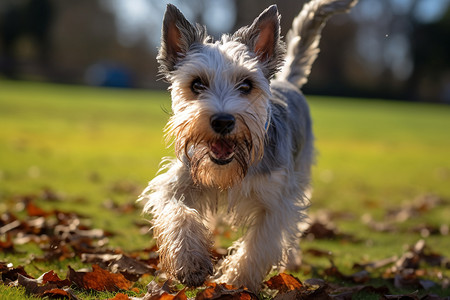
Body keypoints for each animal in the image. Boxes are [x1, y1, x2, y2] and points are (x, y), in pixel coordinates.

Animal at [139, 0, 356, 292]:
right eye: (197, 84)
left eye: (246, 85)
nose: (223, 121)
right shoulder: (178, 183)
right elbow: (178, 213)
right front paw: (190, 262)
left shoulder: (277, 202)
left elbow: (260, 243)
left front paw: (236, 281)